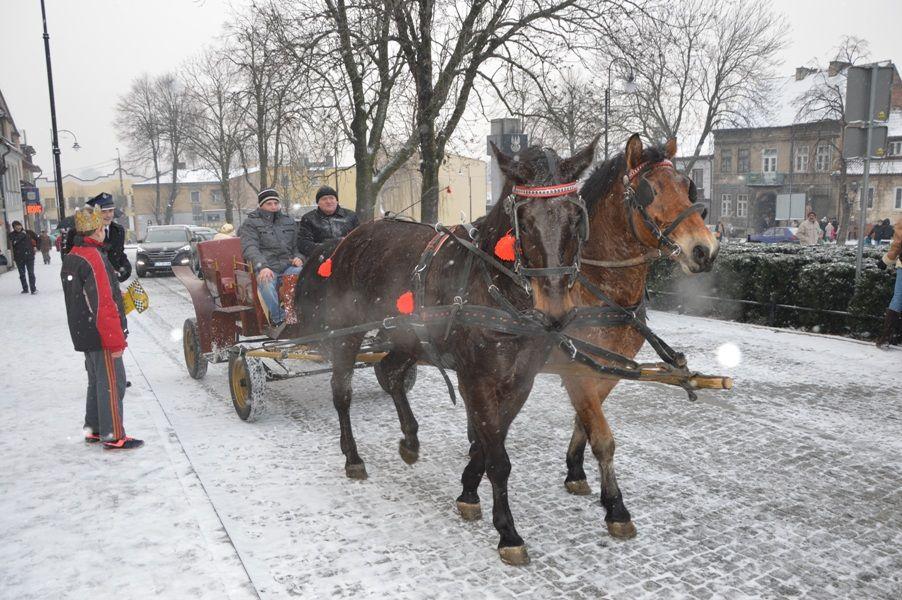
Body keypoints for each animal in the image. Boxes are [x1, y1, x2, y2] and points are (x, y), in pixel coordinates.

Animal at [296, 139, 600, 564]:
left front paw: (469, 491)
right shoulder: (476, 376)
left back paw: (409, 439)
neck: (496, 291)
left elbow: (489, 441)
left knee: (390, 373)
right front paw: (508, 532)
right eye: (523, 221)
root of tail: (349, 238)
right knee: (342, 392)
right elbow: (497, 456)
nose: (556, 312)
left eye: (576, 218)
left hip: (406, 334)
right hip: (347, 332)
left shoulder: (520, 379)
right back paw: (352, 457)